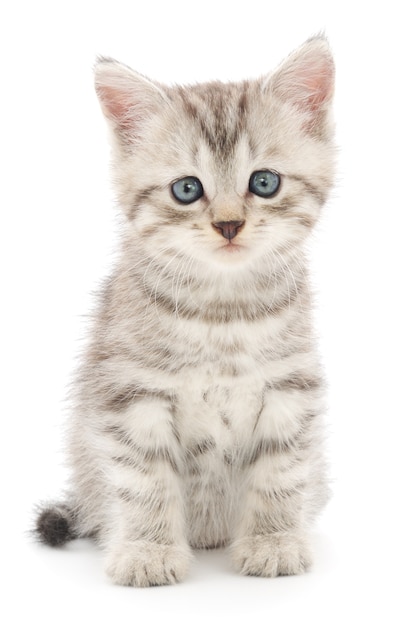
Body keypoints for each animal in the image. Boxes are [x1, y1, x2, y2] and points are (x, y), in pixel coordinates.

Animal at [35, 36, 334, 584]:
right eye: (187, 189)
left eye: (264, 182)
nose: (229, 225)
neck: (222, 313)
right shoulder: (130, 393)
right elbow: (144, 477)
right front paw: (148, 550)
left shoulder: (289, 386)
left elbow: (281, 470)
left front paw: (274, 540)